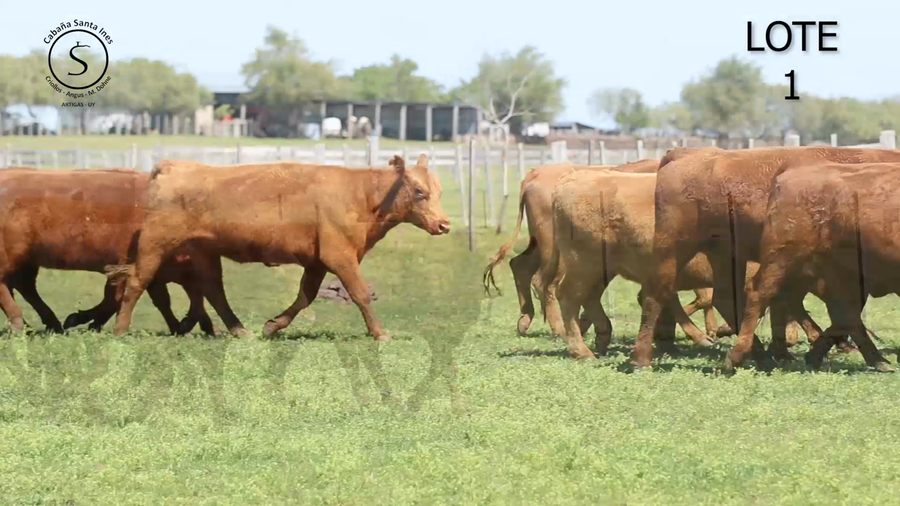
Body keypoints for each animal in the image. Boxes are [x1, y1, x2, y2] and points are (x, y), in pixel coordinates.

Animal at [0, 167, 213, 335]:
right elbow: (115, 298)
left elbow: (157, 300)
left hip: (25, 261)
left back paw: (47, 324)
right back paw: (21, 324)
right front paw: (84, 320)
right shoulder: (125, 266)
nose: (209, 327)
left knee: (24, 287)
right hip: (15, 256)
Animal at [111, 155, 450, 340]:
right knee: (136, 281)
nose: (444, 225)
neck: (362, 196)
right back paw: (120, 329)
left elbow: (305, 296)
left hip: (204, 251)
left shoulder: (317, 261)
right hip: (155, 243)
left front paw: (272, 326)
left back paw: (240, 330)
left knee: (214, 290)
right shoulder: (339, 256)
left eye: (438, 190)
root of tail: (173, 166)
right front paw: (379, 333)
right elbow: (360, 294)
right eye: (419, 191)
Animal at [482, 159, 720, 341]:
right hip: (559, 255)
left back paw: (526, 320)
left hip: (541, 247)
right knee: (545, 284)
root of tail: (535, 174)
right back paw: (561, 330)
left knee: (521, 267)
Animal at [542, 169, 723, 359]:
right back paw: (582, 351)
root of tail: (574, 176)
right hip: (585, 265)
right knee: (569, 296)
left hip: (603, 269)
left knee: (590, 296)